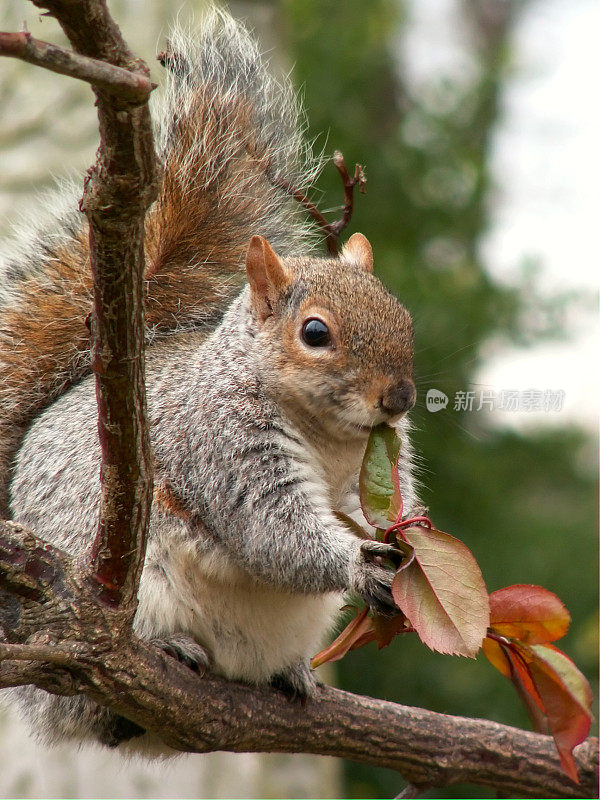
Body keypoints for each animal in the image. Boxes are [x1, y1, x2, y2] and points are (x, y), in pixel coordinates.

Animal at [1, 7, 418, 752]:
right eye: (316, 333)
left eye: (400, 311)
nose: (398, 399)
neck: (329, 434)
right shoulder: (222, 441)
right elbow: (273, 527)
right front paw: (357, 562)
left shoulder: (369, 463)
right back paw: (165, 653)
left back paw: (289, 675)